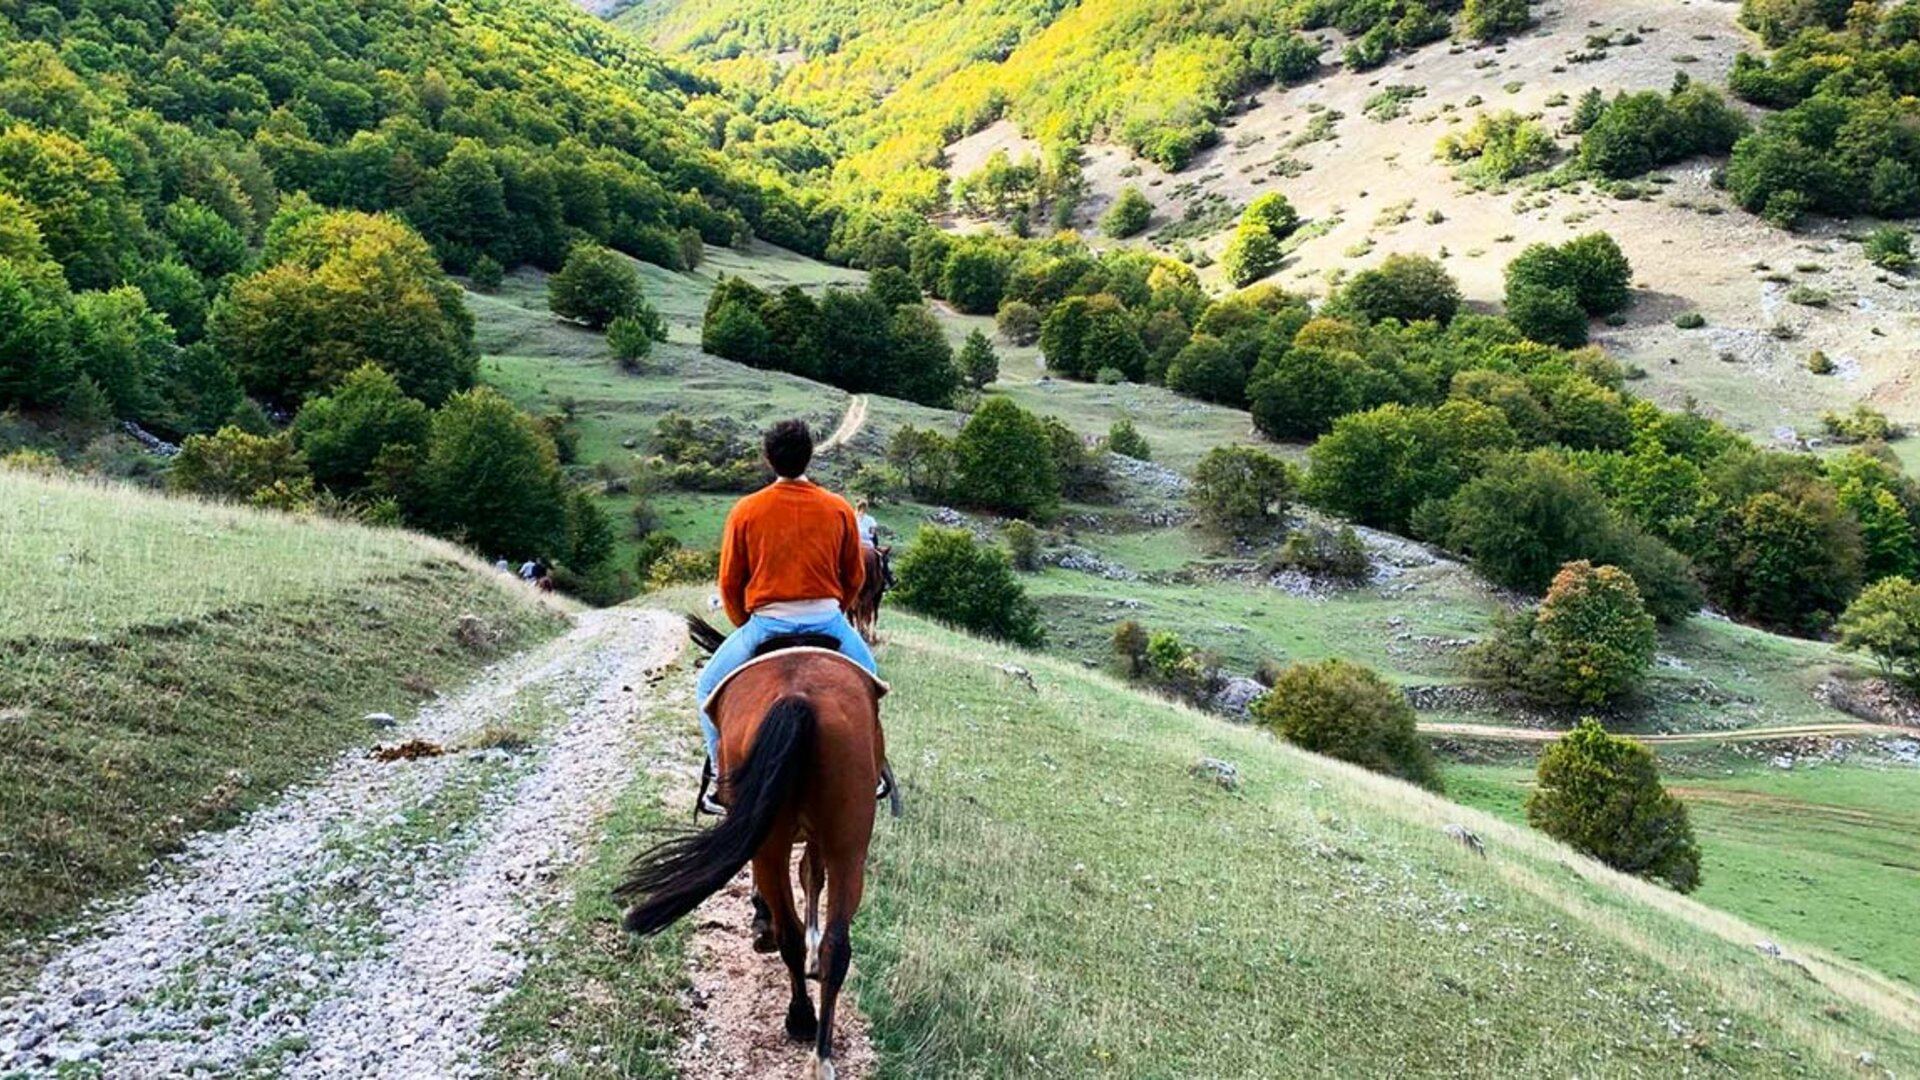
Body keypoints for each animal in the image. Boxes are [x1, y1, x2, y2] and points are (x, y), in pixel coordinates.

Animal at [616, 615, 887, 1080]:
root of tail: (799, 697)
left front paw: (760, 918)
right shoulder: (817, 840)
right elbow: (812, 879)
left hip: (772, 841)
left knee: (788, 931)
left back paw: (800, 1018)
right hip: (849, 843)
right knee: (836, 942)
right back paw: (822, 1054)